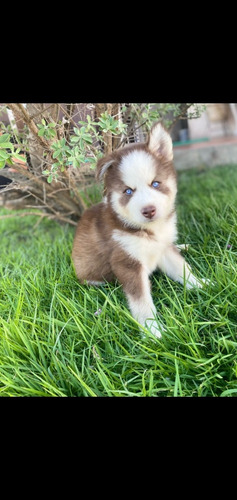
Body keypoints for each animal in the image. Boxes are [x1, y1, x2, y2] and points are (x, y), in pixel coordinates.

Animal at [72, 122, 206, 338]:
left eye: (156, 183)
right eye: (128, 191)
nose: (149, 210)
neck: (148, 231)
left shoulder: (163, 248)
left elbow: (183, 269)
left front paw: (202, 284)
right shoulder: (127, 263)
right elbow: (141, 302)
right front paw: (153, 331)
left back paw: (184, 246)